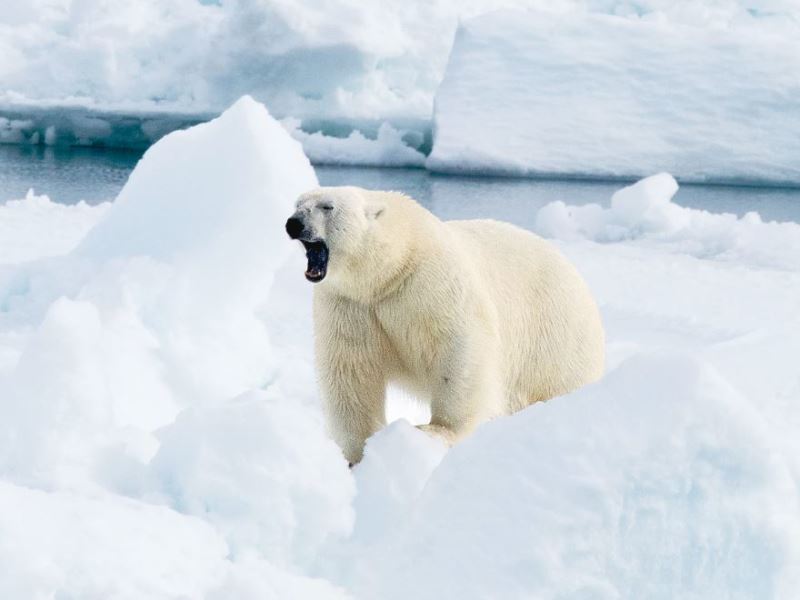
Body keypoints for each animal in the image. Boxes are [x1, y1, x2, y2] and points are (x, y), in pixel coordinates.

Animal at [284, 186, 604, 464]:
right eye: (298, 203)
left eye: (328, 206)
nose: (293, 224)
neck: (391, 270)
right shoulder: (350, 304)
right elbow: (350, 368)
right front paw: (356, 453)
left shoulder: (432, 283)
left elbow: (460, 350)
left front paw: (435, 429)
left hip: (556, 336)